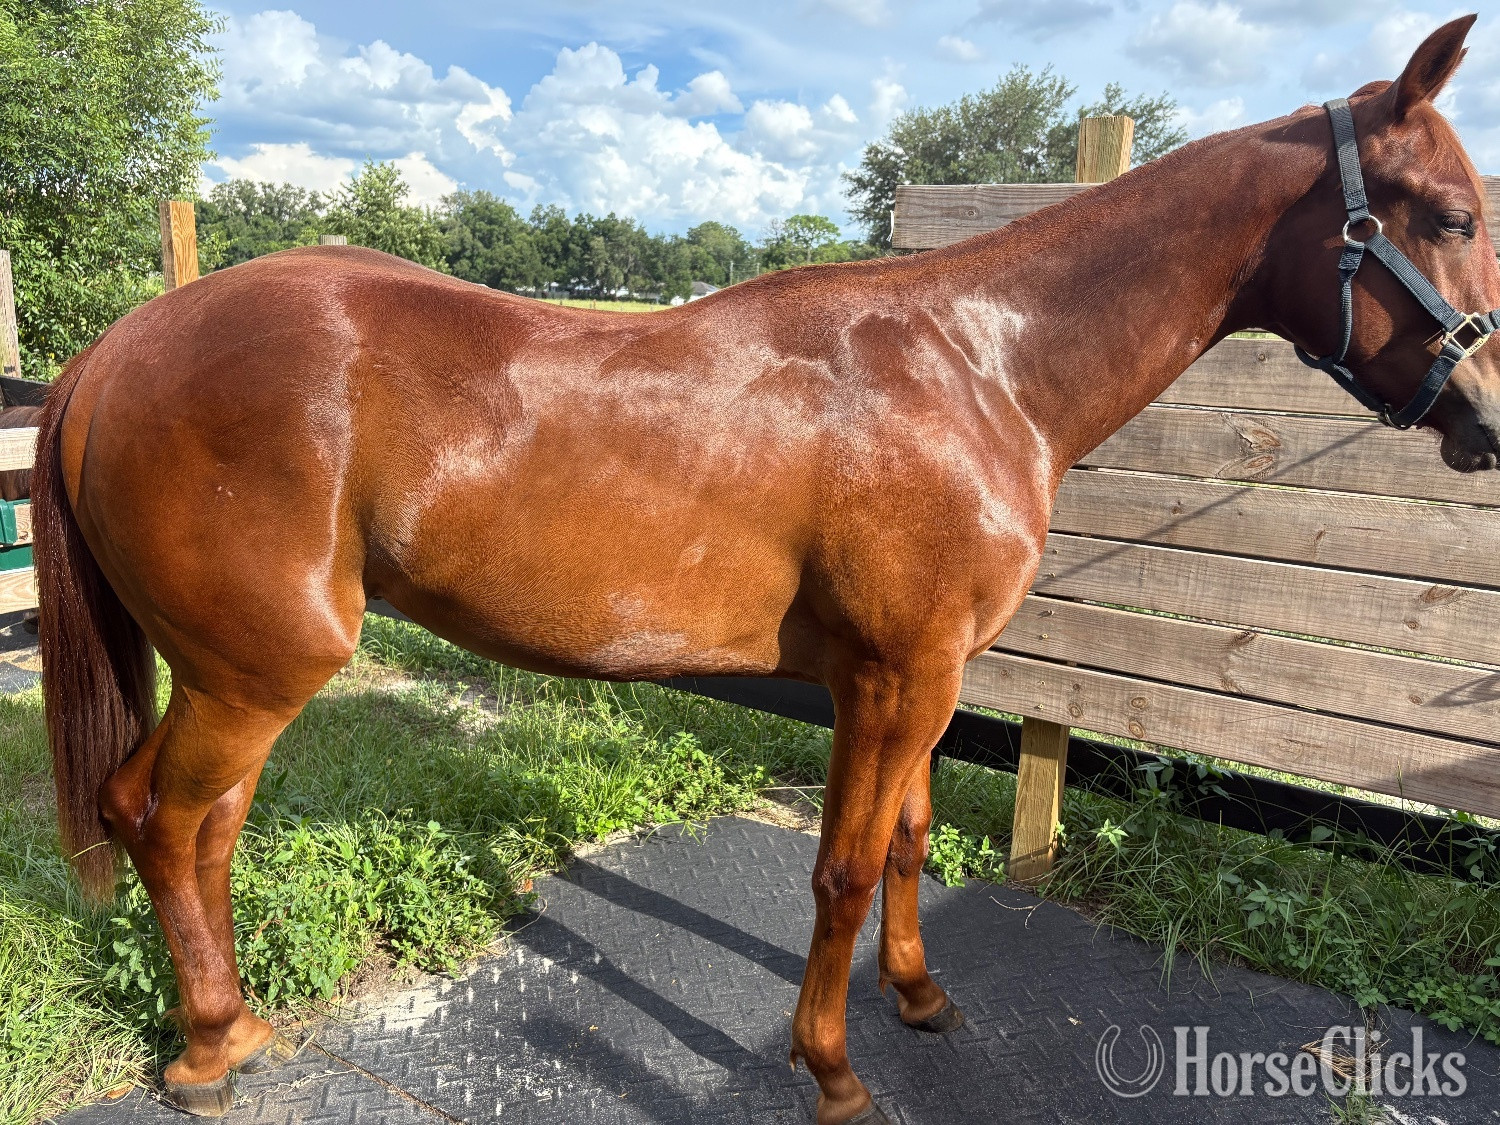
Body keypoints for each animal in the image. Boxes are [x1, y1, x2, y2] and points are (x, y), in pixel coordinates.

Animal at [32, 17, 1500, 1123]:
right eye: (1447, 212)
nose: (1486, 417)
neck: (979, 366)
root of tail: (123, 347)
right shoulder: (898, 678)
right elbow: (843, 867)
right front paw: (833, 1067)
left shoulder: (917, 679)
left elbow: (905, 840)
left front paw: (917, 995)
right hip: (256, 671)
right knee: (160, 816)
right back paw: (208, 1050)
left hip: (233, 674)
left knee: (192, 824)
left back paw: (230, 1020)